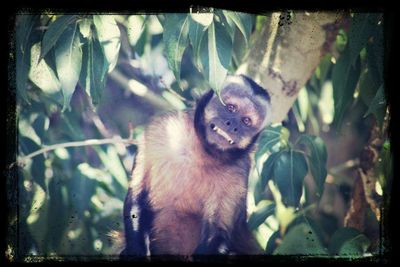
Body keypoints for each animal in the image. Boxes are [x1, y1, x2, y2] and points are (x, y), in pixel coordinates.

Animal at [120, 74, 272, 258]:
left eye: (246, 121)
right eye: (231, 108)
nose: (233, 125)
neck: (201, 151)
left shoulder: (239, 171)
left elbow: (216, 234)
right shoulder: (160, 129)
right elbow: (137, 200)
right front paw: (135, 251)